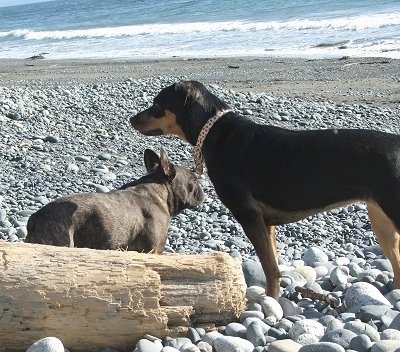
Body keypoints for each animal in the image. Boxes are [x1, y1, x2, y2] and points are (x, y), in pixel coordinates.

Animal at [130, 81, 398, 298]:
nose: (131, 119)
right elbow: (273, 265)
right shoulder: (266, 224)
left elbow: (270, 268)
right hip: (381, 222)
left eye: (156, 104)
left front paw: (270, 300)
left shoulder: (250, 217)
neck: (217, 133)